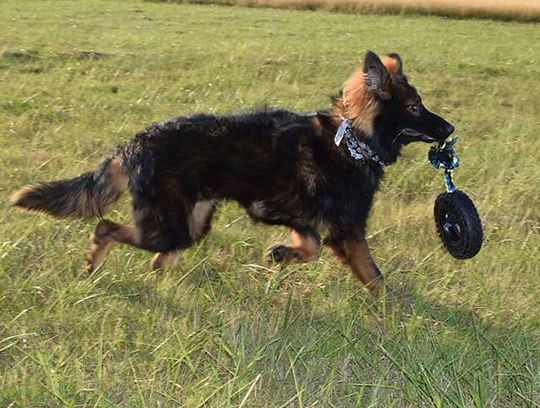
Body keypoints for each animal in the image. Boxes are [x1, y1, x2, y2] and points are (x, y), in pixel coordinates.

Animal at [10, 51, 454, 294]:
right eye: (414, 107)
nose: (450, 129)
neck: (354, 141)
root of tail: (136, 143)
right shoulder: (347, 230)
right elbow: (375, 278)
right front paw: (395, 310)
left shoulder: (301, 219)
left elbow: (309, 246)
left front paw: (281, 254)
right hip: (167, 225)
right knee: (106, 228)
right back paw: (93, 263)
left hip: (192, 223)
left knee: (159, 253)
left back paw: (155, 272)